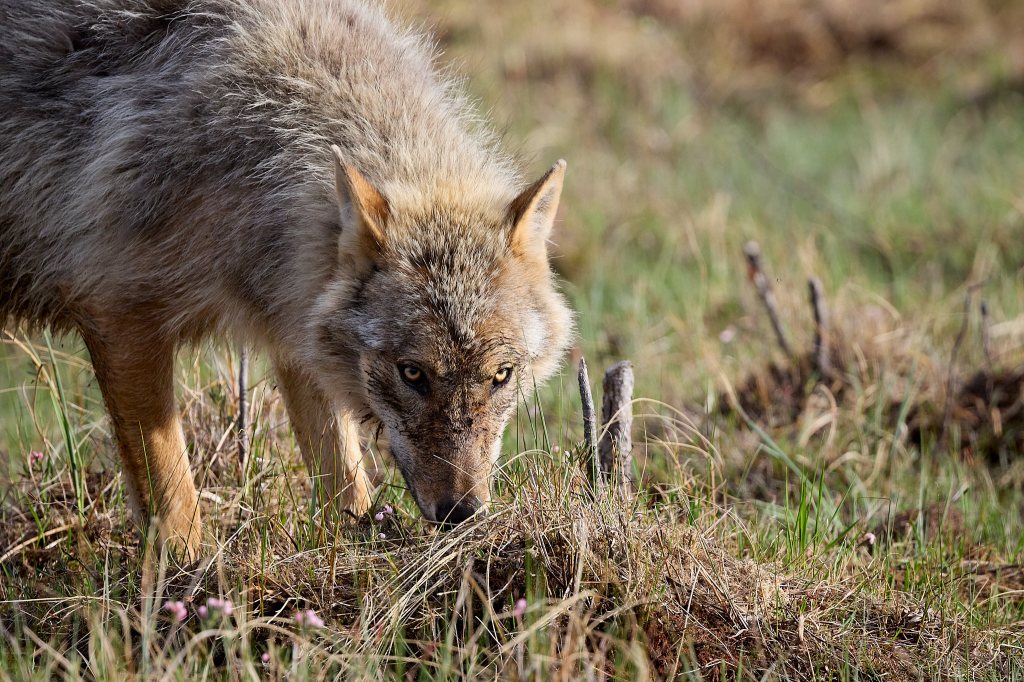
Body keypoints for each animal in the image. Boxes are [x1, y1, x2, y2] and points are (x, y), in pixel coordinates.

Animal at [0, 0, 573, 558]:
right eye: (413, 373)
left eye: (501, 375)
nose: (462, 513)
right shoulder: (120, 319)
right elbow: (175, 503)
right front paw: (186, 582)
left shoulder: (294, 324)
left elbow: (345, 480)